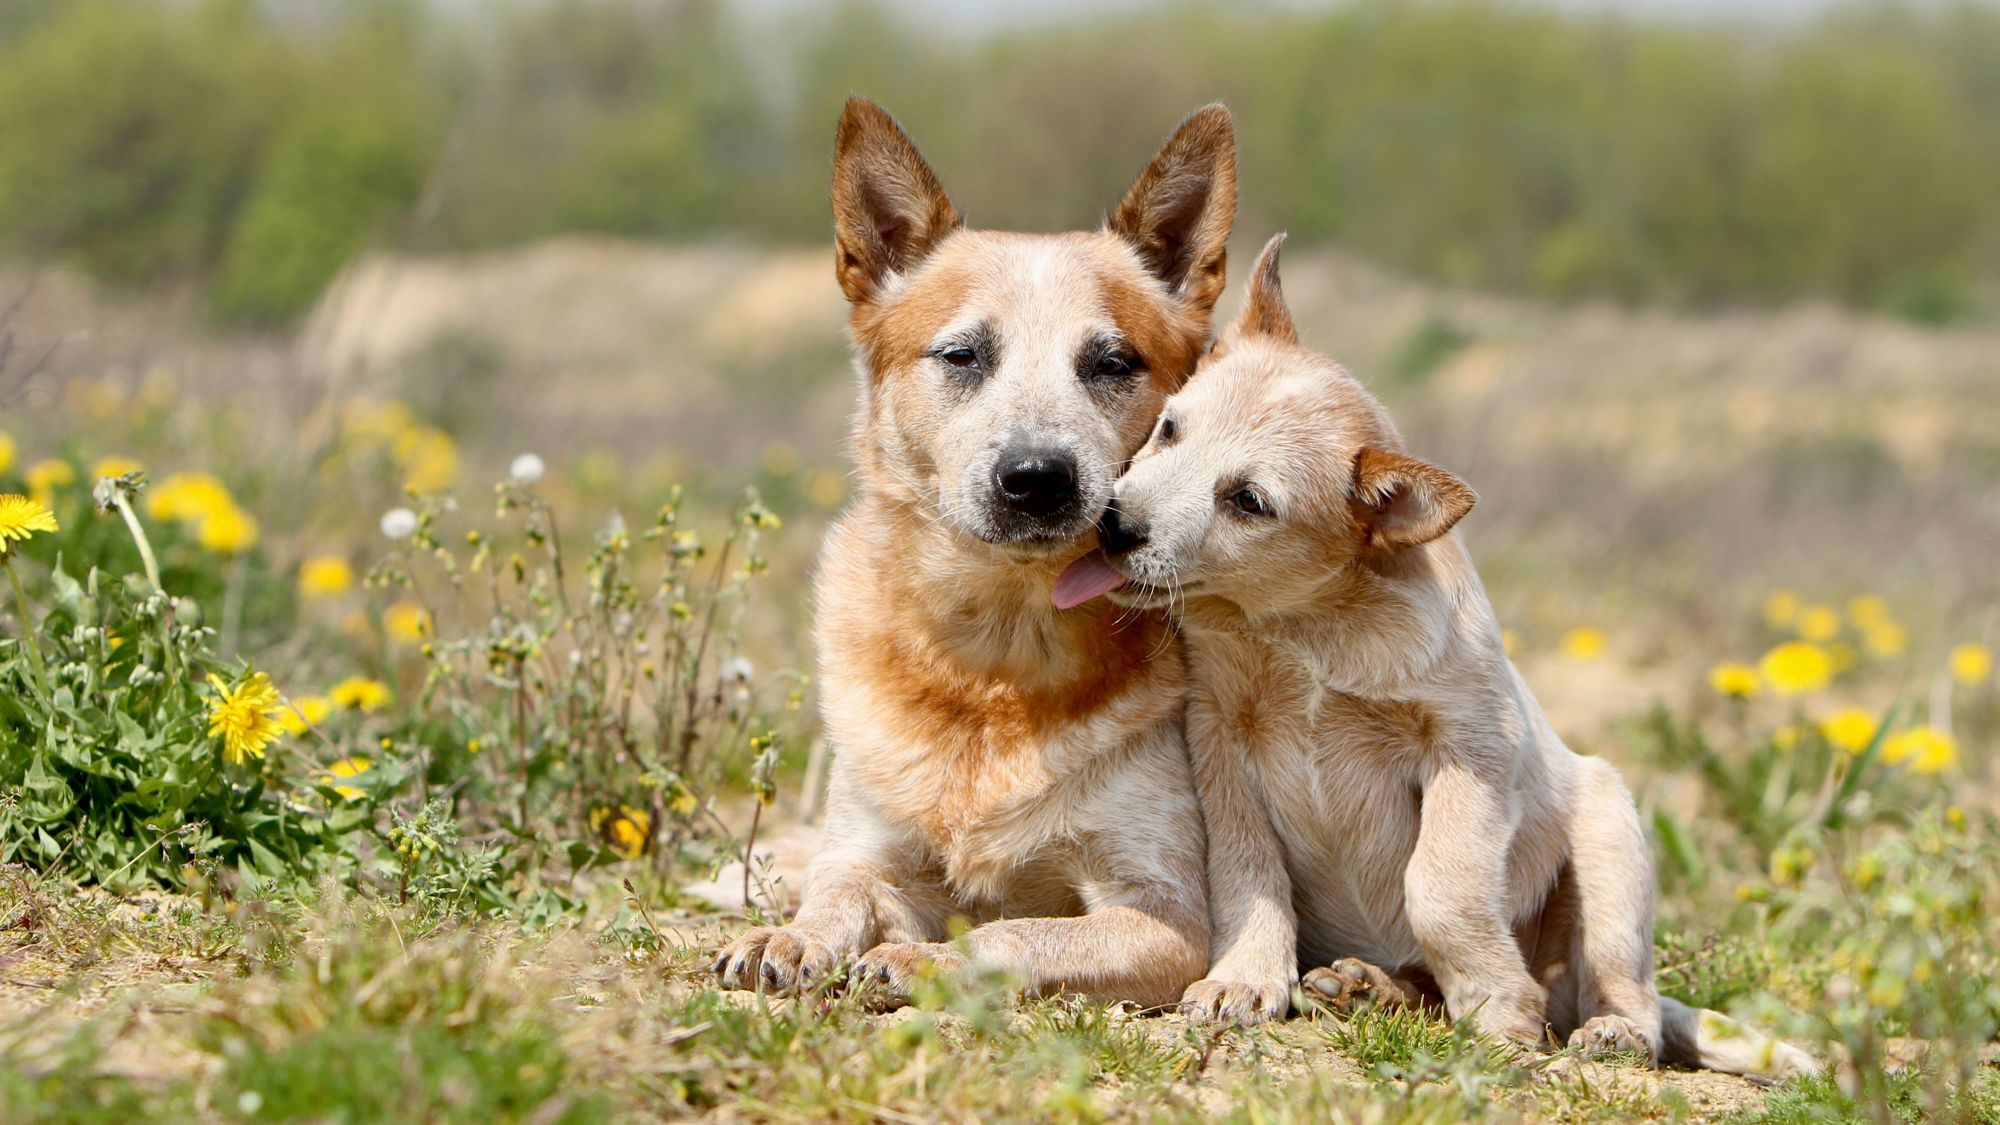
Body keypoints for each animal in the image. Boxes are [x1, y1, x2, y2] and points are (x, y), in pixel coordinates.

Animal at [712, 98, 1224, 1008]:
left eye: (1113, 362)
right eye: (961, 354)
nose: (1038, 478)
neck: (998, 662)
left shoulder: (1163, 915)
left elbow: (1013, 931)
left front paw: (928, 961)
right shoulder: (875, 849)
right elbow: (838, 890)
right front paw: (793, 935)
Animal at [1056, 236, 1824, 1080]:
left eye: (1248, 501)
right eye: (1168, 429)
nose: (1113, 525)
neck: (1307, 632)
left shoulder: (1472, 748)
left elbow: (1440, 885)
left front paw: (1498, 1008)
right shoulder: (1221, 738)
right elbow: (1248, 872)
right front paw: (1244, 979)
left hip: (1612, 838)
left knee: (1628, 991)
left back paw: (1606, 1029)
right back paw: (1368, 987)